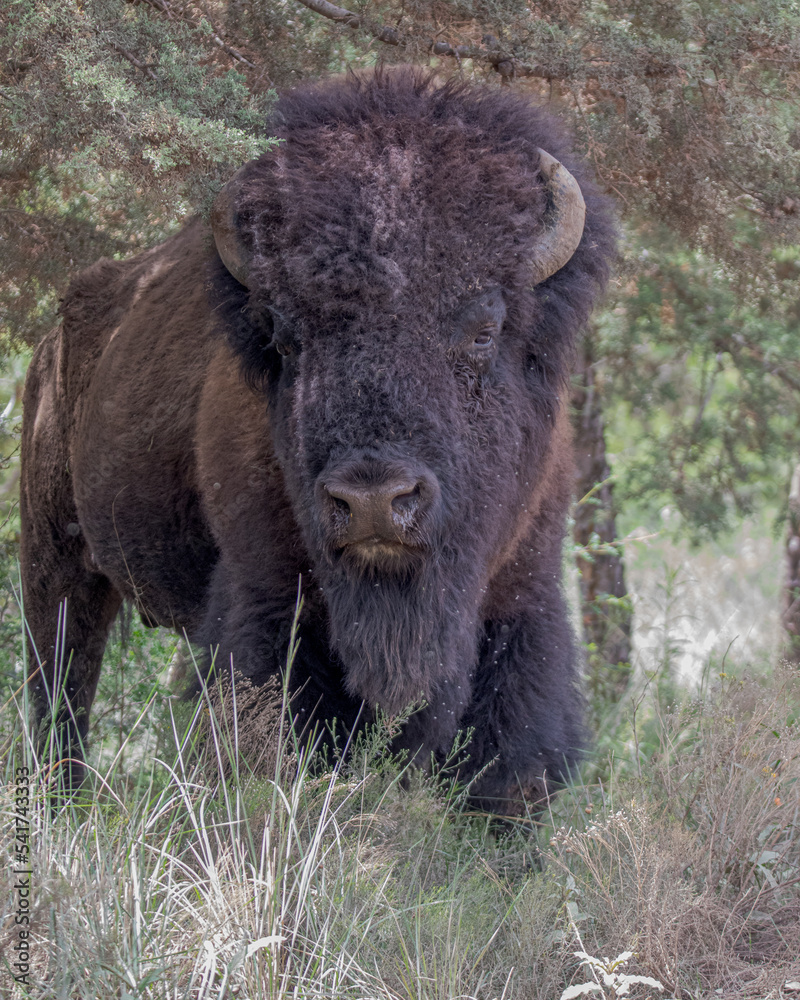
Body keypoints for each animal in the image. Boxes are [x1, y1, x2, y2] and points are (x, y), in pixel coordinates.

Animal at [21, 70, 616, 816]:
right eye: (286, 337)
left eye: (484, 330)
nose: (374, 501)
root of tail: (54, 341)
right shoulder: (270, 604)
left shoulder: (523, 595)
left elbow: (508, 753)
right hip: (55, 561)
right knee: (61, 688)